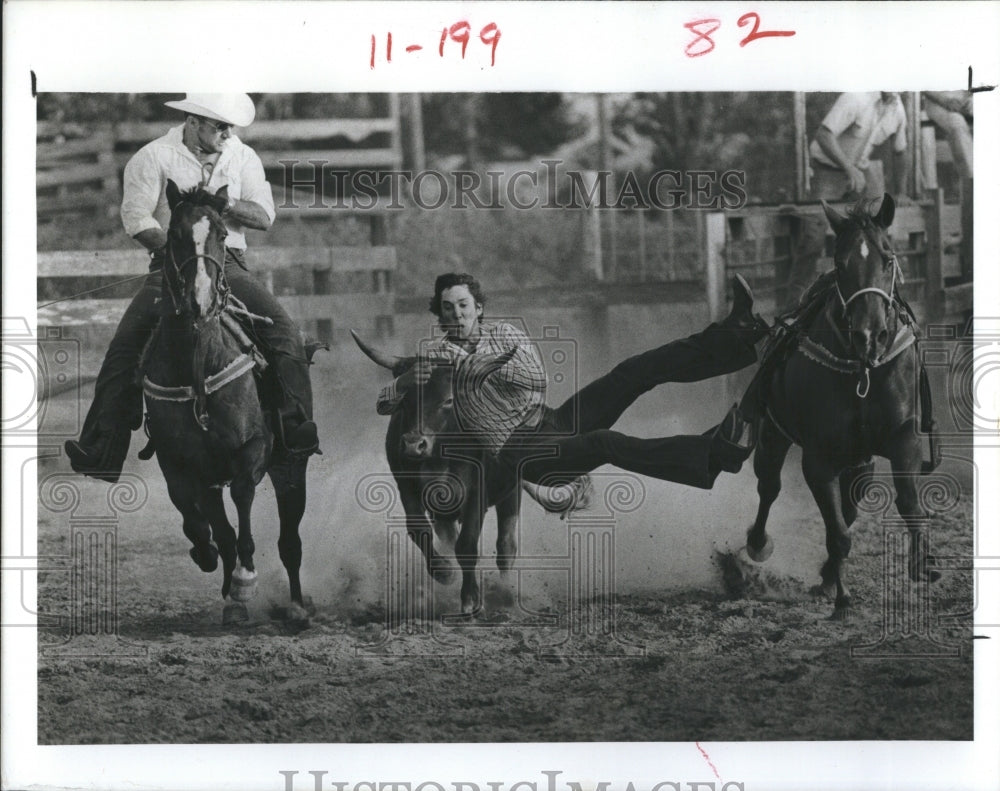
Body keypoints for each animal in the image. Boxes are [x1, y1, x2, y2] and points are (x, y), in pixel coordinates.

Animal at [143, 181, 310, 624]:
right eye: (174, 235)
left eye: (221, 233)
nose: (199, 300)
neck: (197, 364)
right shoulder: (178, 462)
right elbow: (198, 517)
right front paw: (208, 557)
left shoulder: (253, 448)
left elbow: (242, 497)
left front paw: (245, 579)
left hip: (291, 467)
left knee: (290, 541)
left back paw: (296, 606)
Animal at [748, 195, 940, 620]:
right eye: (840, 264)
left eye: (888, 258)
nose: (870, 335)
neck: (862, 367)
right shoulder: (818, 457)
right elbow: (838, 532)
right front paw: (842, 599)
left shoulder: (904, 437)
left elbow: (907, 502)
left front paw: (923, 564)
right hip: (773, 434)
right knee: (769, 487)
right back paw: (758, 544)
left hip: (860, 460)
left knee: (849, 505)